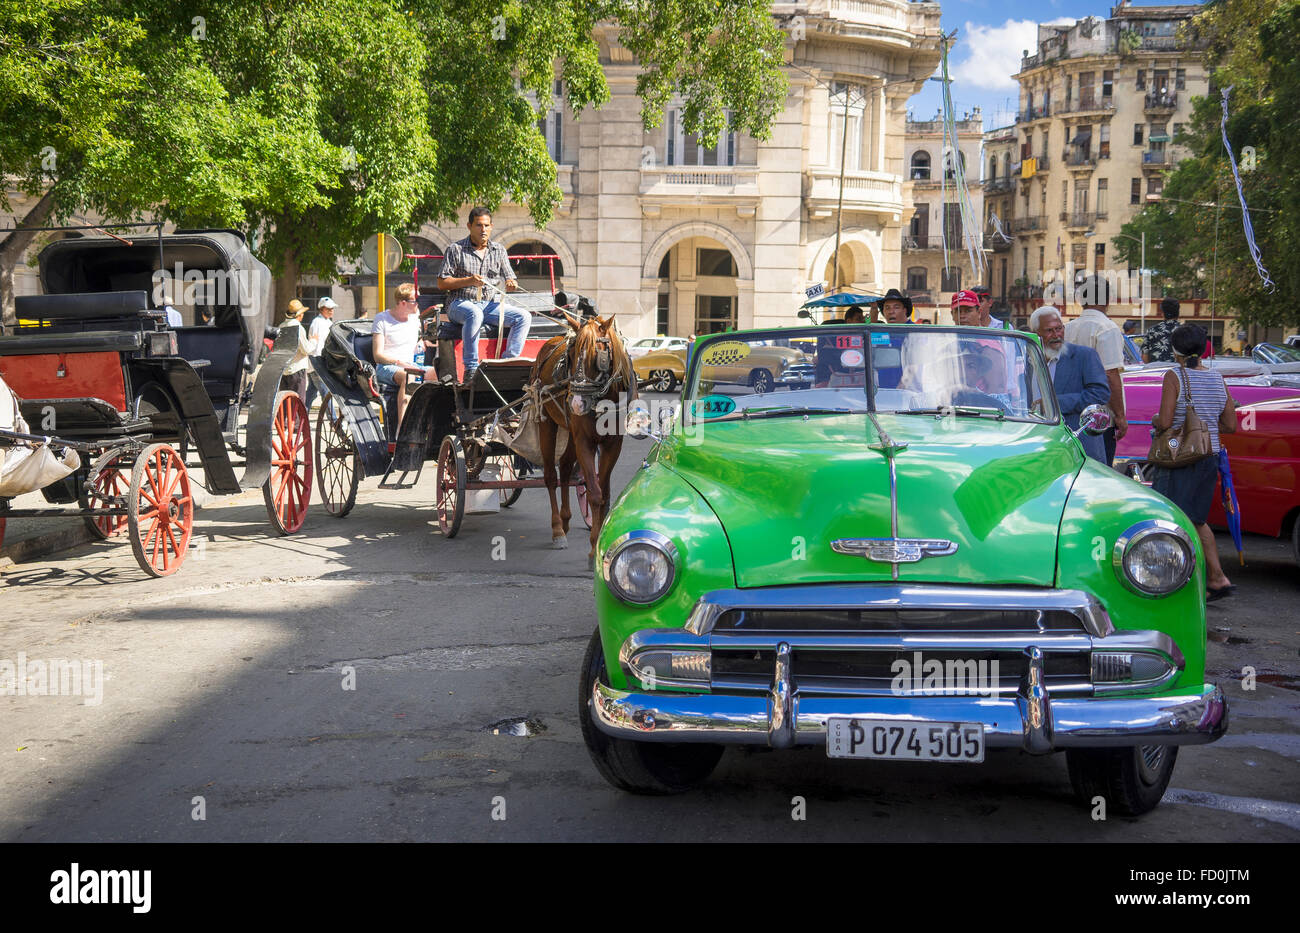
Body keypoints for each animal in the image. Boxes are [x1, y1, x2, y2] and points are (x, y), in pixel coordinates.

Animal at [530, 314, 637, 566]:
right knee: (551, 477)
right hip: (547, 424)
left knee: (566, 467)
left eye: (599, 356)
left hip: (570, 433)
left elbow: (604, 492)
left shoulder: (613, 444)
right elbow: (594, 494)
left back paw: (566, 520)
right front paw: (592, 548)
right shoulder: (585, 442)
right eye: (571, 354)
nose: (577, 403)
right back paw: (558, 529)